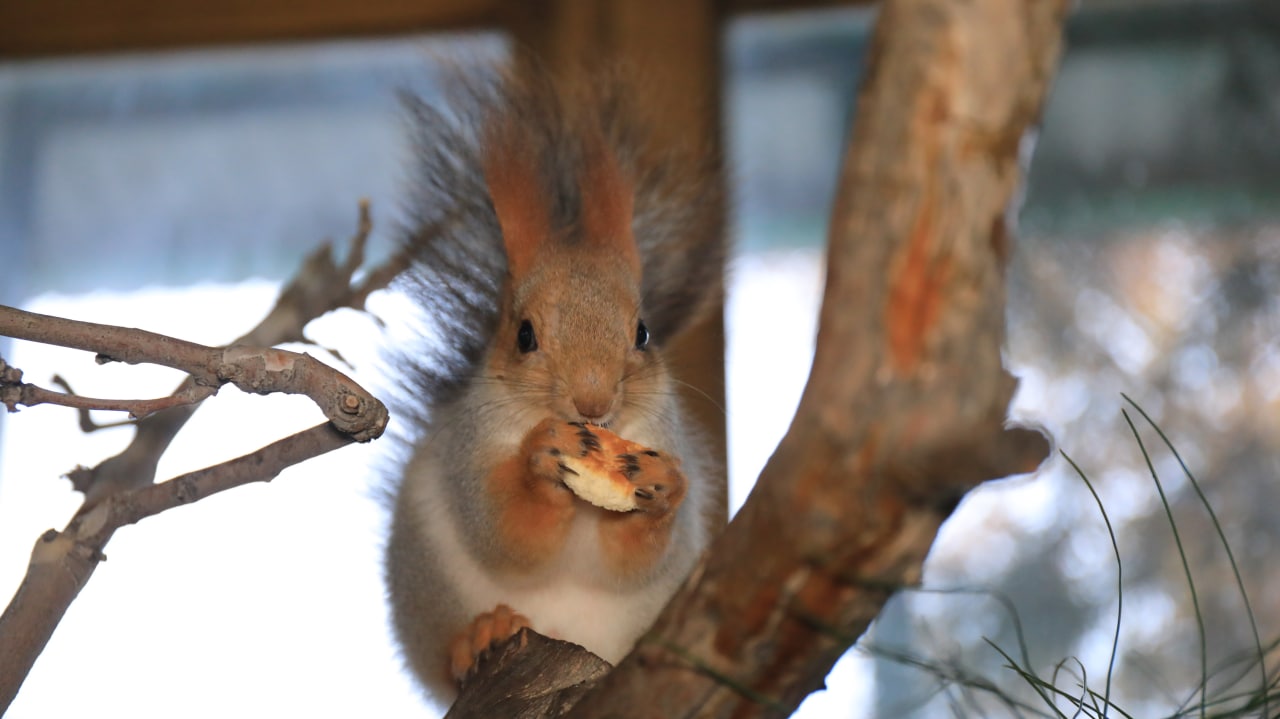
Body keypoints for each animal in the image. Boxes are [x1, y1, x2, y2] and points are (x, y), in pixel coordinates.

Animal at [378, 63, 727, 706]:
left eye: (643, 332)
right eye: (524, 335)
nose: (593, 401)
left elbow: (632, 560)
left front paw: (661, 489)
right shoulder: (469, 452)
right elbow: (504, 532)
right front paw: (539, 465)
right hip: (427, 587)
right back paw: (479, 634)